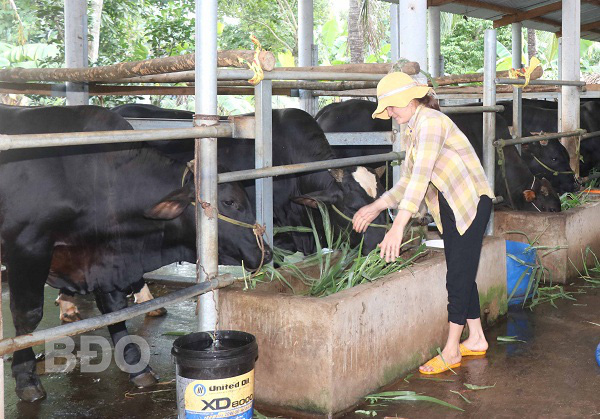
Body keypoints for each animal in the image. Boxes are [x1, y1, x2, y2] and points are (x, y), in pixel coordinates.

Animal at [0, 103, 268, 402]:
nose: (266, 253)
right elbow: (27, 315)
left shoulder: (104, 259)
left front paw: (136, 365)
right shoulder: (28, 247)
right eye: (229, 202)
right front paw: (26, 378)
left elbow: (114, 310)